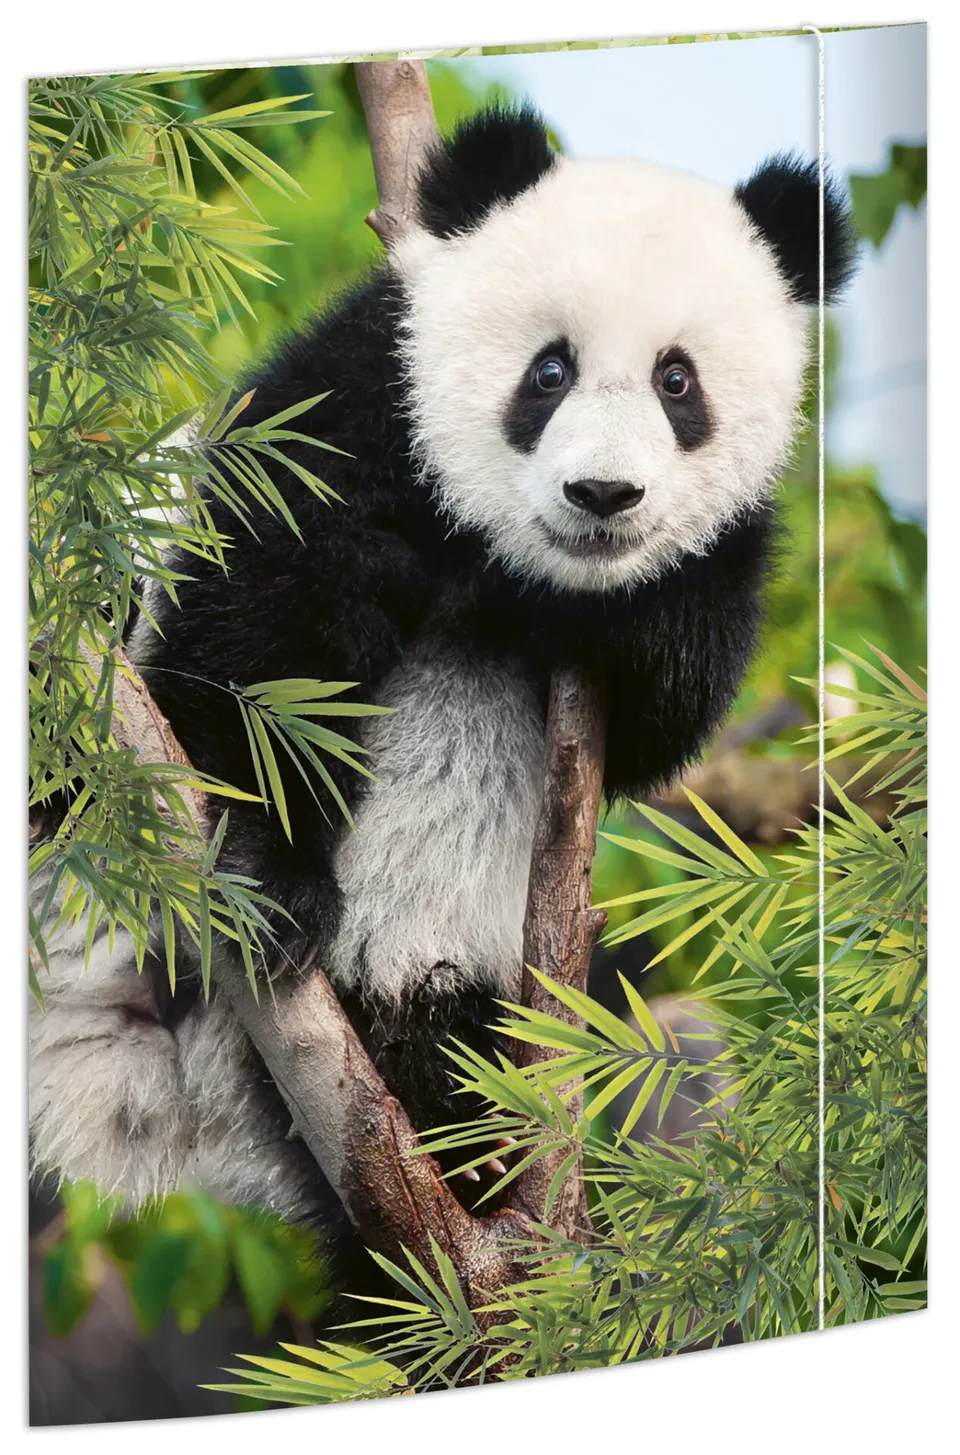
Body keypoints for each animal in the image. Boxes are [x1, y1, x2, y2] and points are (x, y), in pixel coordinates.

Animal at [29, 104, 855, 1268]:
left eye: (677, 381)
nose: (603, 494)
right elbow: (257, 625)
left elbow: (665, 709)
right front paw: (271, 869)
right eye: (548, 371)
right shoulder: (361, 392)